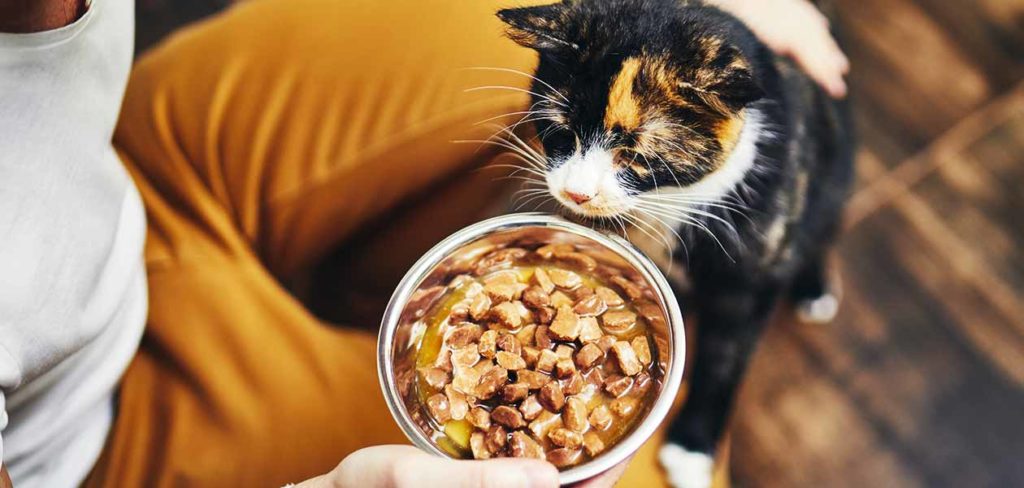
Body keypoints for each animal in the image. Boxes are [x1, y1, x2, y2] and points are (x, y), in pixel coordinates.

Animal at [495, 1, 856, 484]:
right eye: (561, 132)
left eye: (634, 155)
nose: (577, 193)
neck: (665, 203)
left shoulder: (749, 279)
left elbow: (724, 358)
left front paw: (692, 448)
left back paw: (813, 286)